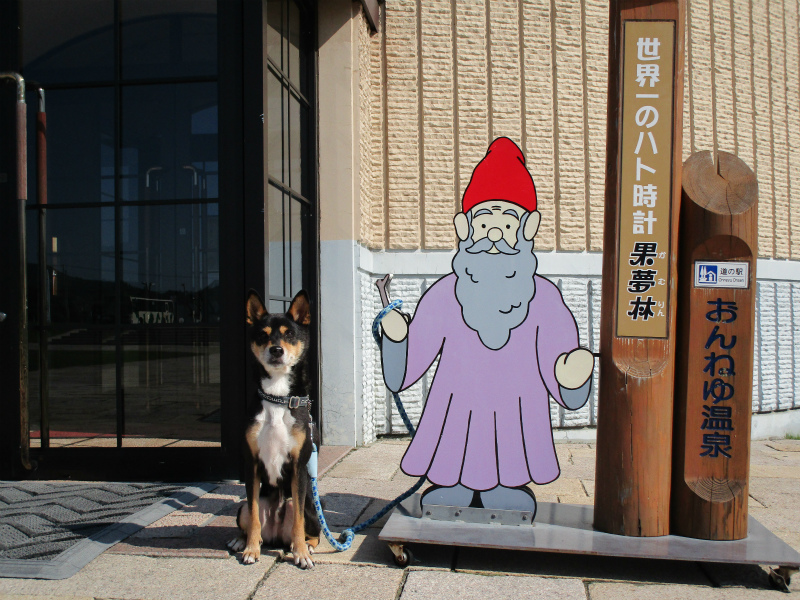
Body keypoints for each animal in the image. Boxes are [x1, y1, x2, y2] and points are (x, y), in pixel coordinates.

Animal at [227, 290, 320, 568]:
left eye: (289, 334)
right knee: (251, 518)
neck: (277, 397)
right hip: (243, 508)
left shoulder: (298, 466)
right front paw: (250, 549)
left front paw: (300, 553)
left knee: (314, 531)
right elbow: (254, 515)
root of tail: (277, 536)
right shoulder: (252, 464)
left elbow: (298, 521)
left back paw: (306, 547)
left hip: (311, 508)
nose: (276, 350)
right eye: (262, 335)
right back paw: (242, 541)